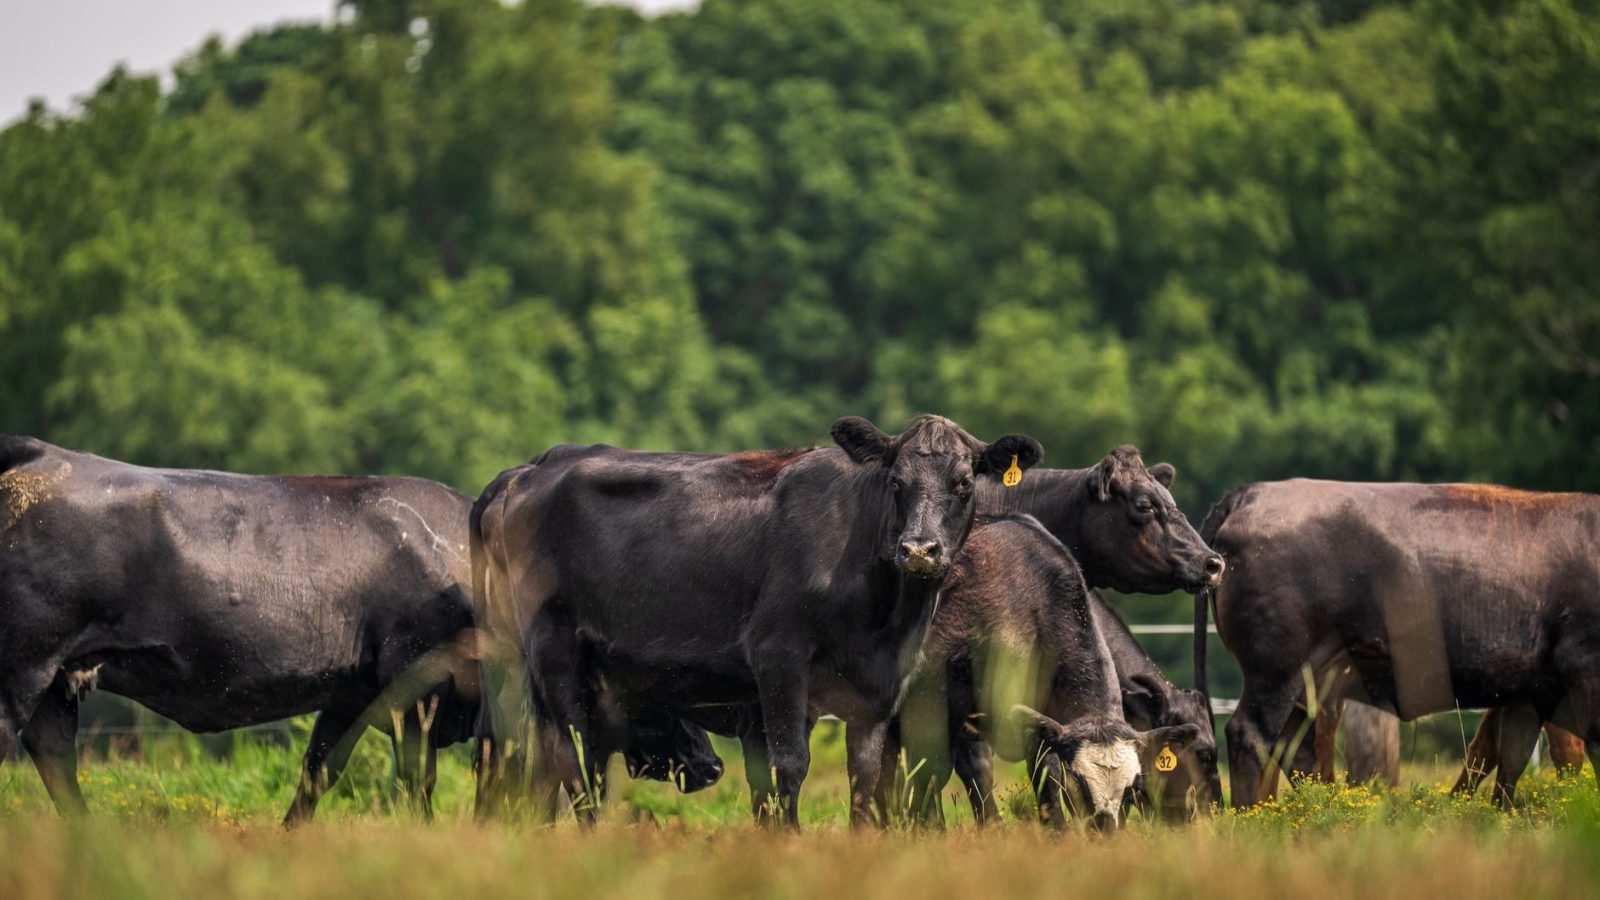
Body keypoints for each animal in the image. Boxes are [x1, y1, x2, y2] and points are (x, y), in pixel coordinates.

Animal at [0, 435, 720, 824]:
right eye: (657, 687)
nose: (713, 765)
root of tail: (41, 454)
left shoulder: (350, 694)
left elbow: (317, 773)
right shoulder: (416, 689)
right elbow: (417, 781)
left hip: (55, 683)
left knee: (55, 758)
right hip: (23, 667)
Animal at [470, 415, 1042, 828]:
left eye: (964, 483)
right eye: (896, 482)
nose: (919, 550)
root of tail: (527, 471)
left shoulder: (882, 679)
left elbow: (866, 771)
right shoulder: (779, 656)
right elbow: (787, 764)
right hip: (551, 651)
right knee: (571, 757)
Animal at [885, 515, 1201, 830]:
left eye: (1132, 789)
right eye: (1081, 783)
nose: (1106, 831)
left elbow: (1043, 777)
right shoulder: (935, 703)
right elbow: (931, 773)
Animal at [1198, 479, 1600, 808]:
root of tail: (1249, 494)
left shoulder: (1526, 694)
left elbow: (1508, 758)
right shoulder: (1582, 672)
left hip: (1307, 682)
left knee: (1294, 746)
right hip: (1278, 672)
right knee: (1250, 735)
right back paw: (1253, 817)